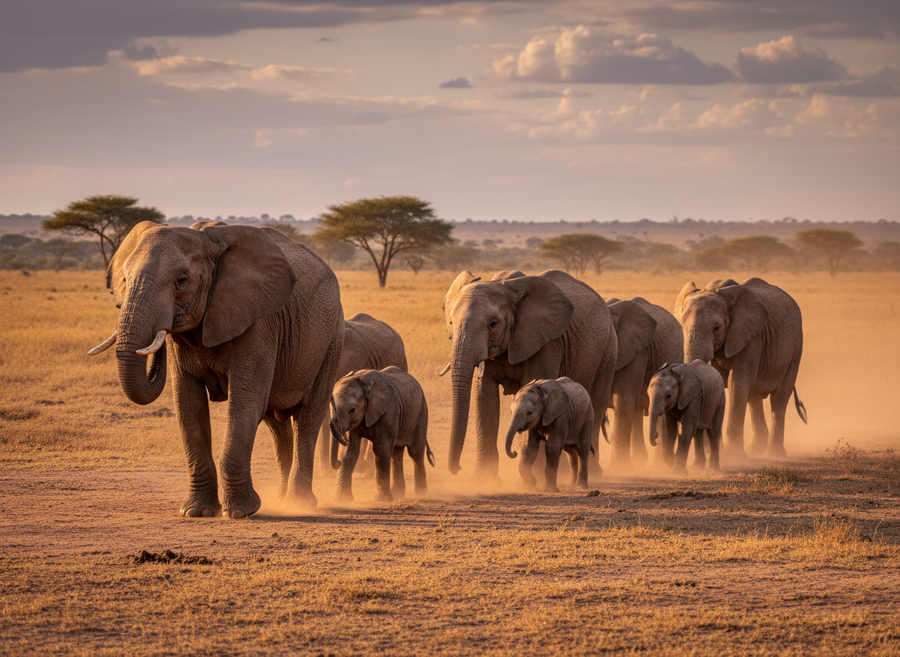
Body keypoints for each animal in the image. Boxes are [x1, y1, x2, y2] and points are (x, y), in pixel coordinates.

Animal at [89, 221, 343, 518]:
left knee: (307, 419)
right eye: (125, 281)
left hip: (331, 340)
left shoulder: (259, 321)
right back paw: (281, 500)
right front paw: (195, 512)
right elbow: (189, 405)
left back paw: (298, 503)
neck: (206, 240)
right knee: (277, 426)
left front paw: (240, 512)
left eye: (181, 281)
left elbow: (245, 401)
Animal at [329, 367, 435, 502]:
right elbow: (349, 452)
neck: (362, 382)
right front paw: (342, 499)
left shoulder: (389, 412)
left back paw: (419, 493)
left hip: (421, 413)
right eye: (331, 407)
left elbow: (381, 449)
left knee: (415, 452)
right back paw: (397, 493)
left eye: (352, 411)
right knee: (396, 453)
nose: (337, 463)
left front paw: (381, 500)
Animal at [440, 269, 617, 481]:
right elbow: (485, 399)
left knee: (597, 405)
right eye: (451, 323)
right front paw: (485, 480)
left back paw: (593, 472)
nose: (456, 469)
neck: (506, 287)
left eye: (492, 324)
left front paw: (535, 477)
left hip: (607, 351)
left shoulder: (547, 342)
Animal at [675, 277, 806, 458]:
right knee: (754, 398)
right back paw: (756, 450)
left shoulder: (751, 338)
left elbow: (738, 384)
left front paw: (732, 454)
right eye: (680, 326)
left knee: (779, 398)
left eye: (716, 329)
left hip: (795, 348)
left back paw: (774, 454)